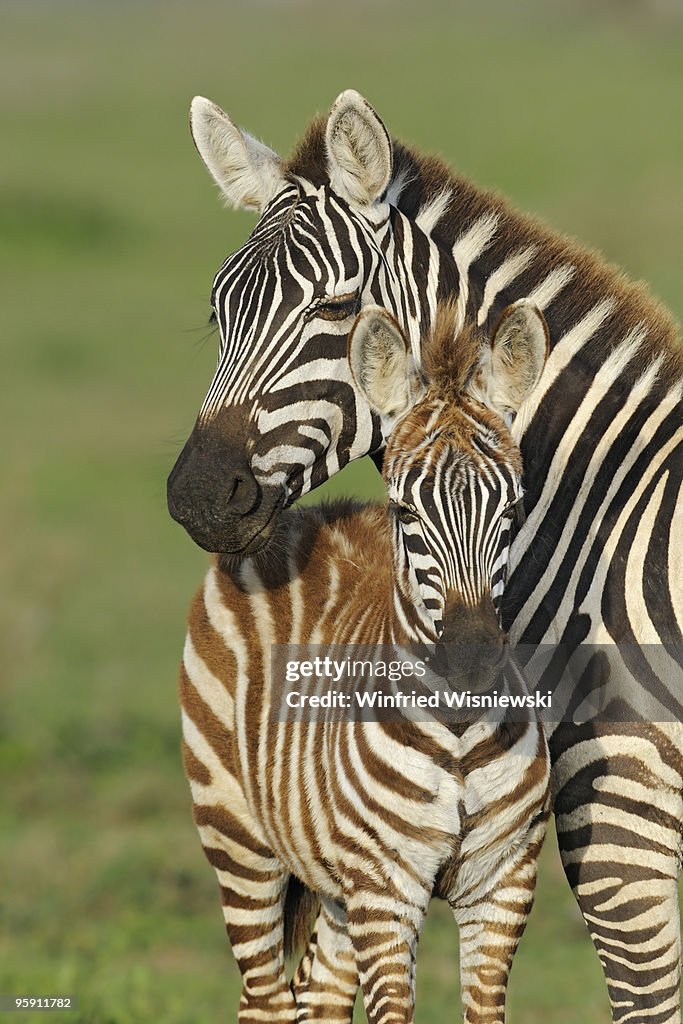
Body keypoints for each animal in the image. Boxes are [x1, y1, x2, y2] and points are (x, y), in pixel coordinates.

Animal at [180, 303, 548, 1024]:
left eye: (513, 509)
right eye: (405, 512)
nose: (471, 657)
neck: (458, 733)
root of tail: (304, 515)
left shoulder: (504, 879)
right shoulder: (385, 888)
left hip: (332, 878)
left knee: (317, 992)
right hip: (236, 832)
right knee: (264, 996)